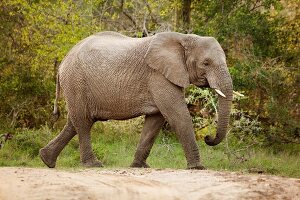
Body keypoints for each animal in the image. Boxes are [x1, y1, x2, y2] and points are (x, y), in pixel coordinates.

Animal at [38, 30, 233, 169]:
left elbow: (155, 121)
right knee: (83, 122)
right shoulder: (158, 75)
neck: (185, 38)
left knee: (75, 122)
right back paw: (93, 165)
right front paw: (198, 168)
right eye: (206, 63)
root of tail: (63, 61)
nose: (208, 137)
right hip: (76, 81)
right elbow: (178, 115)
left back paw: (46, 160)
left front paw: (139, 166)